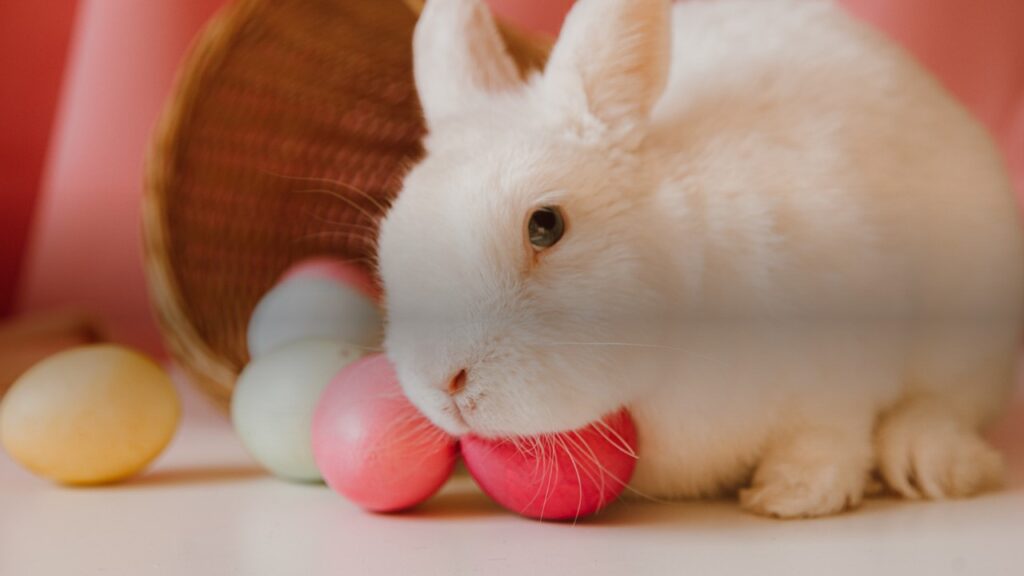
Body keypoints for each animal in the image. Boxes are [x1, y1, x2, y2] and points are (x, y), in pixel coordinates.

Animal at [376, 0, 1024, 516]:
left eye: (545, 226)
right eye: (389, 245)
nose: (443, 381)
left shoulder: (844, 362)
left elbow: (829, 434)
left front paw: (792, 495)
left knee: (944, 404)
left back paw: (931, 461)